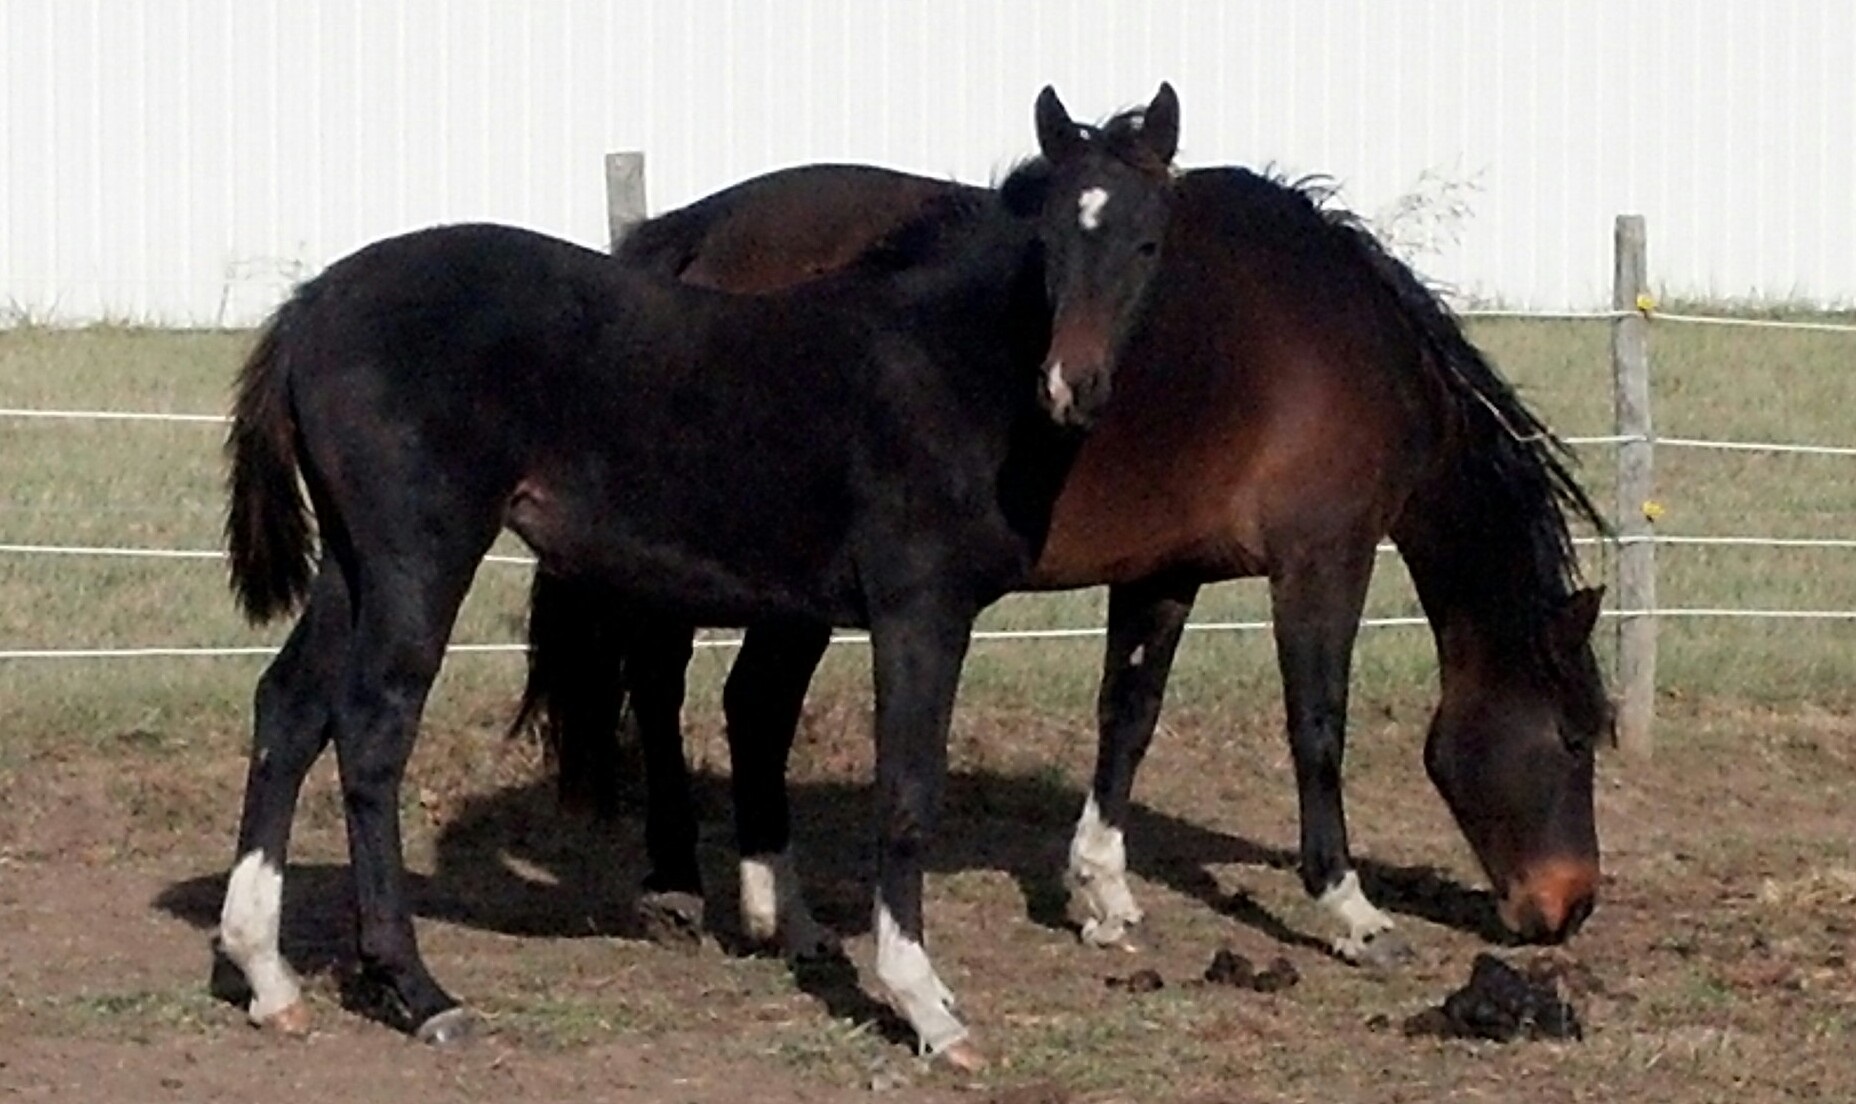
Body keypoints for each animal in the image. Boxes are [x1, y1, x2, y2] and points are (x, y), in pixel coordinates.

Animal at [212, 83, 1182, 1066]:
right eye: (1049, 241)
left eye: (1148, 242)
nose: (1073, 387)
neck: (937, 367)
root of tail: (312, 303)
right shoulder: (921, 611)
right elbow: (907, 797)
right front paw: (928, 1009)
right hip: (420, 554)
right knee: (372, 728)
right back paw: (417, 989)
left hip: (353, 561)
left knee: (289, 709)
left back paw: (266, 974)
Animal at [518, 159, 1613, 978]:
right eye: (1570, 739)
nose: (1568, 906)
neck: (1337, 333)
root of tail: (700, 234)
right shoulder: (1321, 559)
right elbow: (1316, 729)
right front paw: (1349, 910)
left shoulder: (1164, 571)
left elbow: (1127, 720)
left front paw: (1101, 895)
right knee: (721, 697)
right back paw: (733, 898)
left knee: (693, 690)